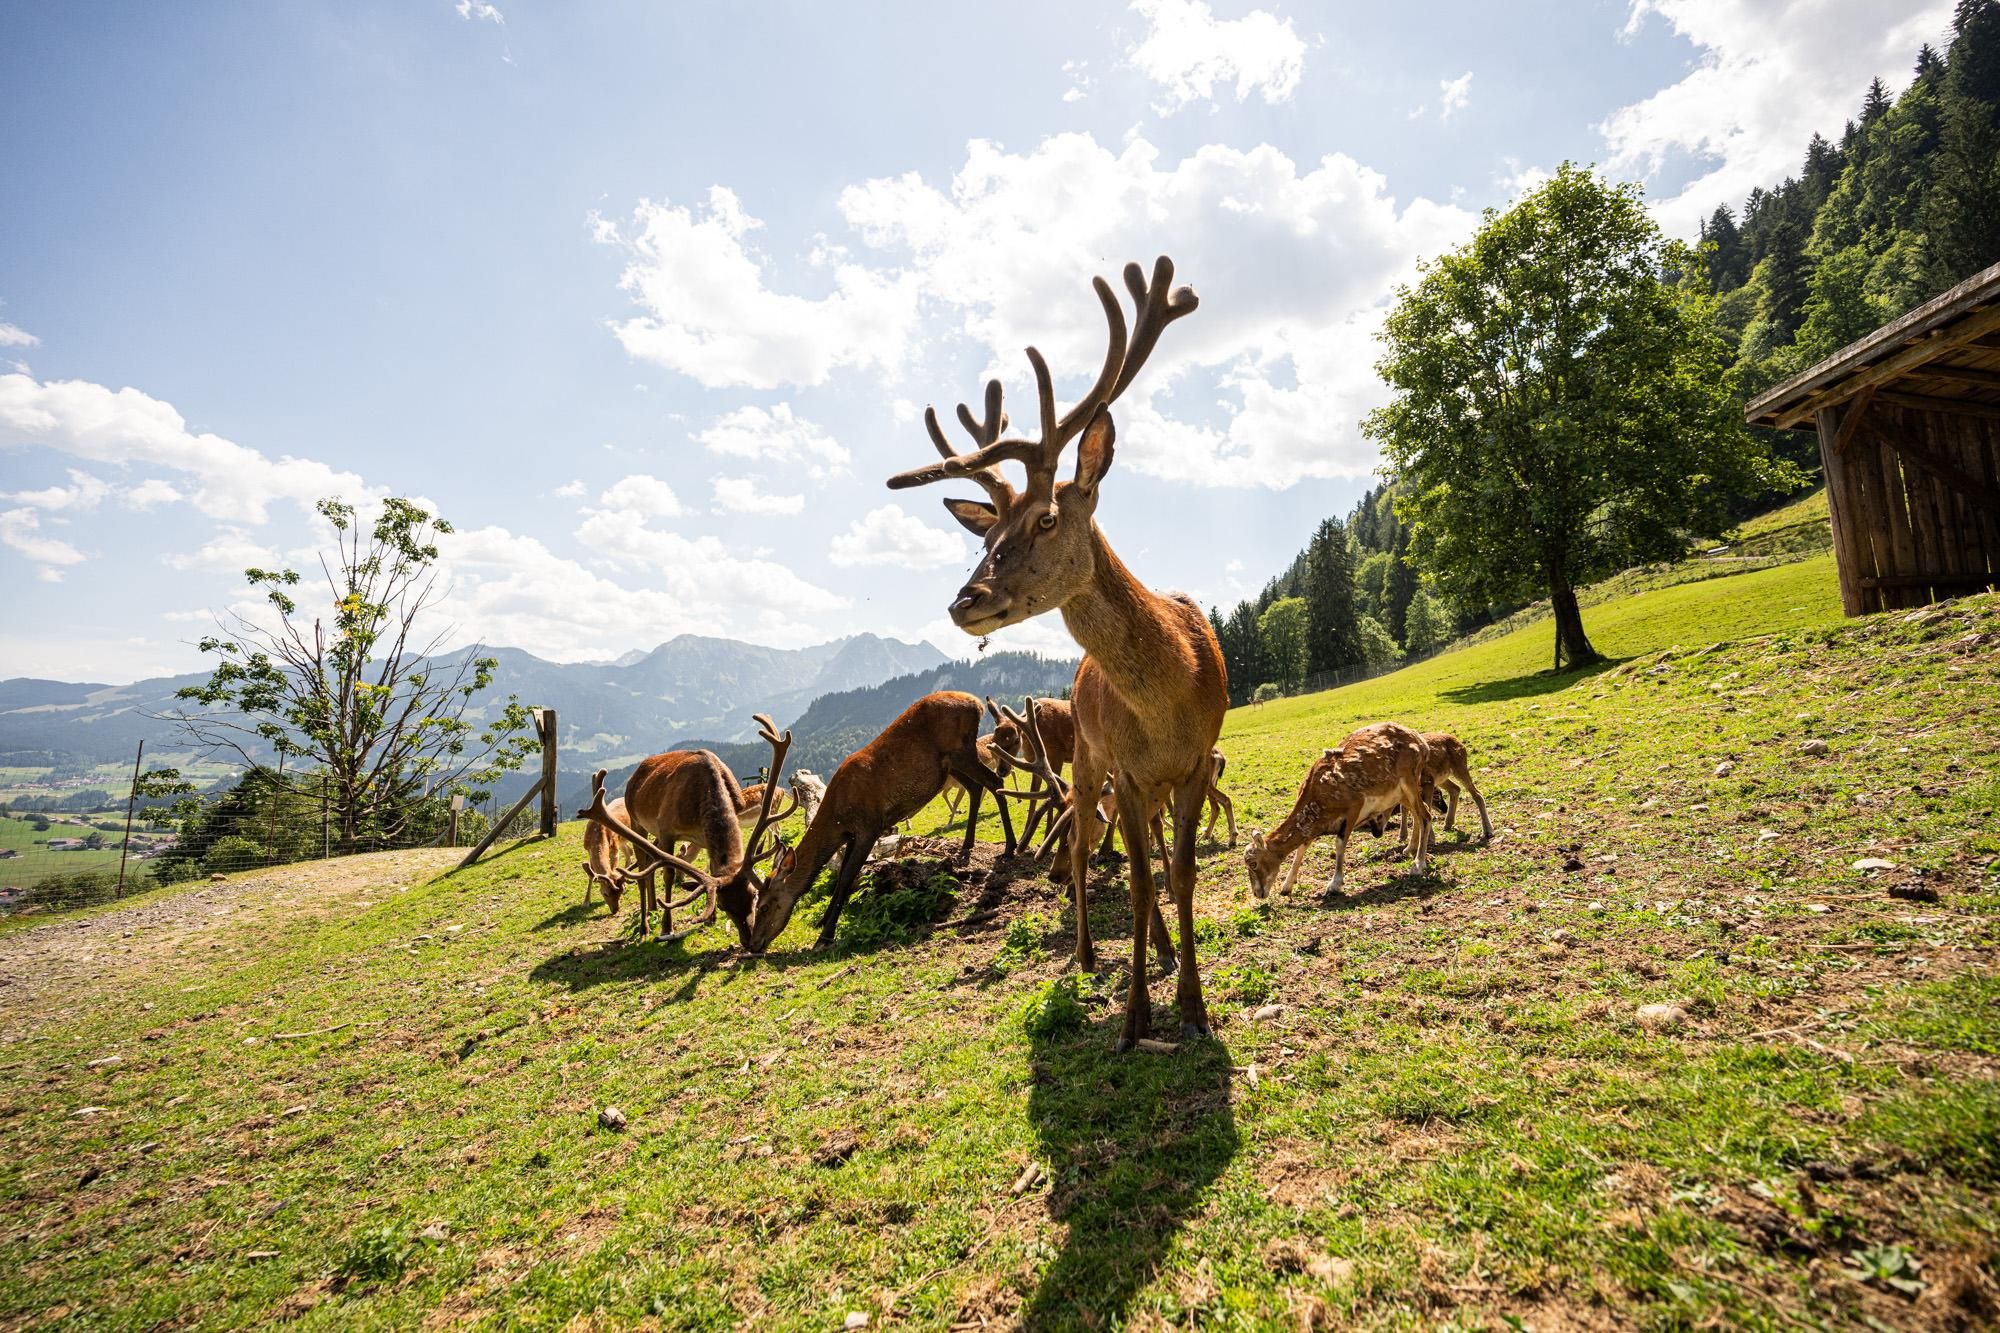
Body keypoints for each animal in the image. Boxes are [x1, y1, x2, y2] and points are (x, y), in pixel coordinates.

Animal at [572, 712, 796, 940]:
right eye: (723, 905)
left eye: (753, 895)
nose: (749, 939)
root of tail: (636, 773)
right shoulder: (666, 829)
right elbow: (668, 874)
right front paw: (667, 927)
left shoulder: (703, 836)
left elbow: (712, 869)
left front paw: (710, 919)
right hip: (637, 821)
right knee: (643, 866)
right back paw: (645, 926)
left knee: (651, 860)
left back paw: (653, 906)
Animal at [744, 684, 1016, 956]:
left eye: (764, 905)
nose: (753, 944)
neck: (837, 815)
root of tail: (977, 703)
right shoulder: (851, 834)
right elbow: (840, 876)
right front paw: (823, 920)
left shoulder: (869, 826)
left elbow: (847, 876)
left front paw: (825, 936)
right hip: (952, 764)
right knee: (976, 788)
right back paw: (967, 846)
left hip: (961, 750)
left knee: (995, 782)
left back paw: (1010, 848)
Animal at [888, 252, 1224, 1048]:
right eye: (985, 533)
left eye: (1044, 518)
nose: (964, 601)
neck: (1171, 700)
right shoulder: (1126, 769)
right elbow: (1136, 879)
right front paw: (1135, 1018)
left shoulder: (1197, 760)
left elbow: (1179, 874)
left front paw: (1193, 1005)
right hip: (1087, 757)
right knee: (1080, 848)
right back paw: (1087, 953)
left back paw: (1165, 952)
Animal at [1240, 720, 1432, 896]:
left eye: (1253, 863)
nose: (1258, 893)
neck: (1318, 799)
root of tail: (1422, 743)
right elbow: (1301, 848)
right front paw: (1286, 887)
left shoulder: (1355, 804)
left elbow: (1339, 843)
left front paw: (1334, 885)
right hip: (1401, 794)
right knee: (1418, 814)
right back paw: (1409, 849)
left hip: (1409, 780)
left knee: (1425, 815)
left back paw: (1418, 865)